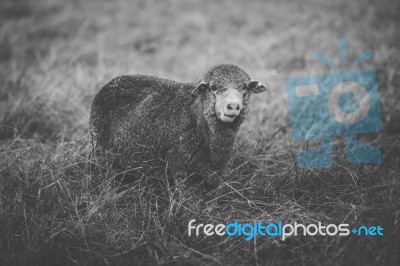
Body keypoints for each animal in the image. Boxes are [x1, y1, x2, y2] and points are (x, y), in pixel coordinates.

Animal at [89, 64, 268, 188]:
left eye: (244, 87)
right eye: (212, 87)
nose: (233, 106)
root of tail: (113, 81)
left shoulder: (218, 177)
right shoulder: (180, 169)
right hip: (99, 147)